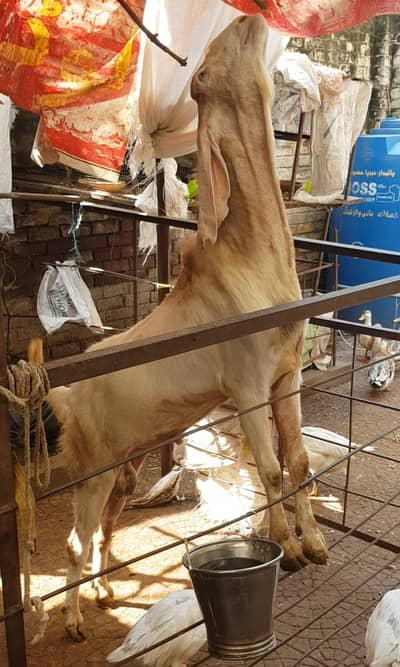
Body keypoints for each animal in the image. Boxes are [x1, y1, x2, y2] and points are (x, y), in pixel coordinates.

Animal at [49, 14, 328, 642]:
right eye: (200, 75)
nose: (244, 18)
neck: (253, 262)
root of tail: (66, 395)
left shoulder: (286, 376)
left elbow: (298, 462)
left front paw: (318, 544)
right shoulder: (246, 384)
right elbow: (270, 467)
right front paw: (287, 549)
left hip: (125, 463)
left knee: (107, 523)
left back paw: (105, 592)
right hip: (90, 464)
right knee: (76, 538)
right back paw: (74, 620)